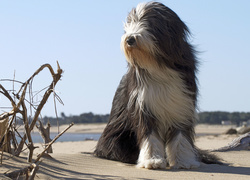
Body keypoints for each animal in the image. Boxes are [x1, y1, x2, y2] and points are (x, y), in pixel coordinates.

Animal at [94, 2, 221, 169]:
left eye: (149, 23)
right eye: (130, 23)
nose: (130, 39)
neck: (157, 64)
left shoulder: (181, 104)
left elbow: (180, 136)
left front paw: (184, 161)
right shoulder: (144, 104)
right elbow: (150, 136)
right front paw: (152, 160)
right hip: (116, 139)